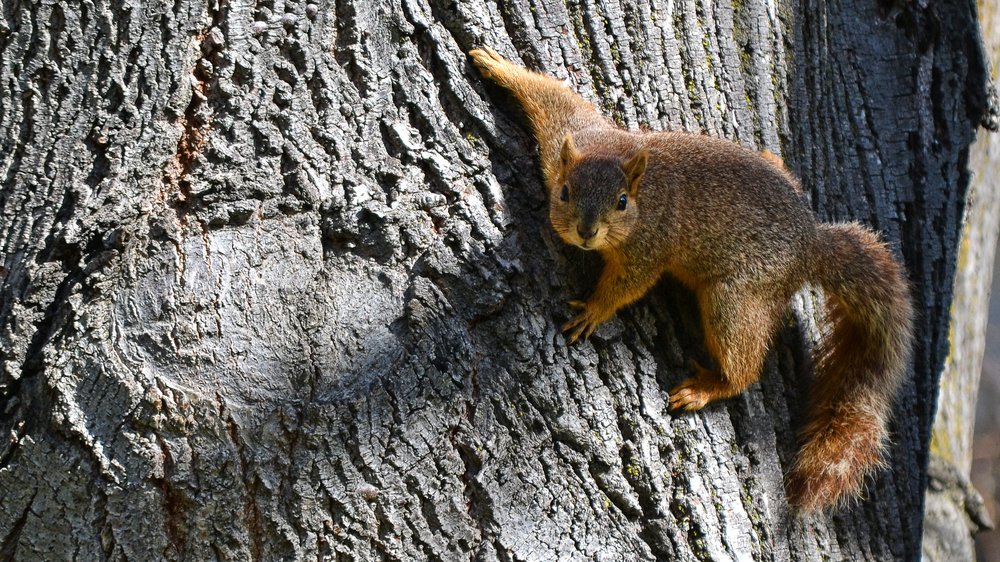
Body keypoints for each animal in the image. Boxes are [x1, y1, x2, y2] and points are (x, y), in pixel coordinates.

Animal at [468, 46, 916, 510]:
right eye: (565, 192)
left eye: (622, 201)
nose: (586, 232)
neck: (643, 190)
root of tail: (811, 245)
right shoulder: (572, 134)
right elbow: (553, 97)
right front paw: (496, 65)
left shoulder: (649, 247)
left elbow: (629, 284)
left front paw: (593, 309)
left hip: (735, 297)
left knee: (744, 363)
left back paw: (709, 387)